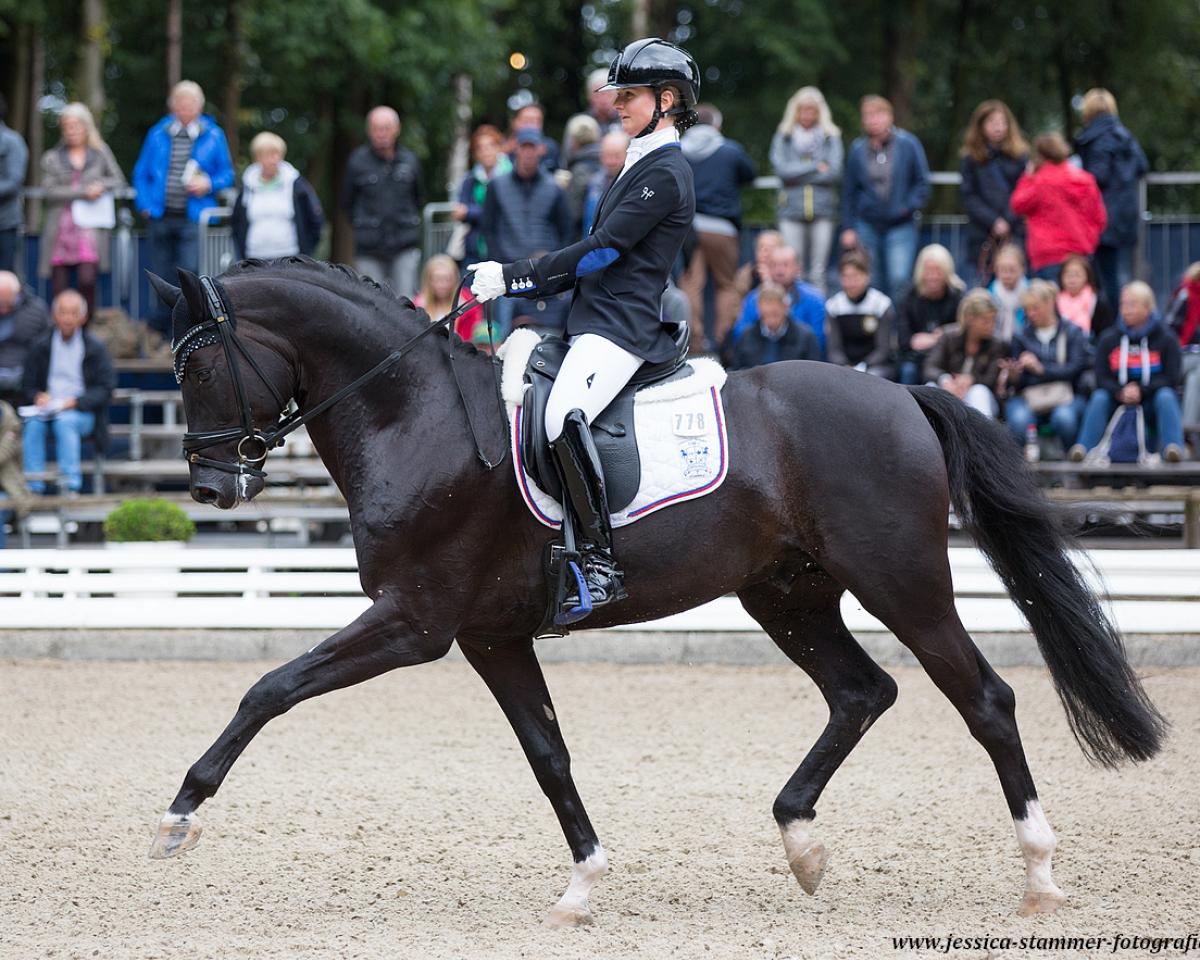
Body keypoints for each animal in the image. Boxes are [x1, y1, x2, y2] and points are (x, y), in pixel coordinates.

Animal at [145, 259, 1165, 926]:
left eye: (196, 366)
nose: (211, 488)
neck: (413, 414)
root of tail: (901, 393)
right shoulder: (489, 636)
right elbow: (548, 756)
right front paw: (583, 885)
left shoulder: (414, 621)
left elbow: (270, 688)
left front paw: (178, 816)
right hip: (788, 597)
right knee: (861, 691)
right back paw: (801, 843)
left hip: (902, 584)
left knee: (983, 699)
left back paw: (1039, 876)